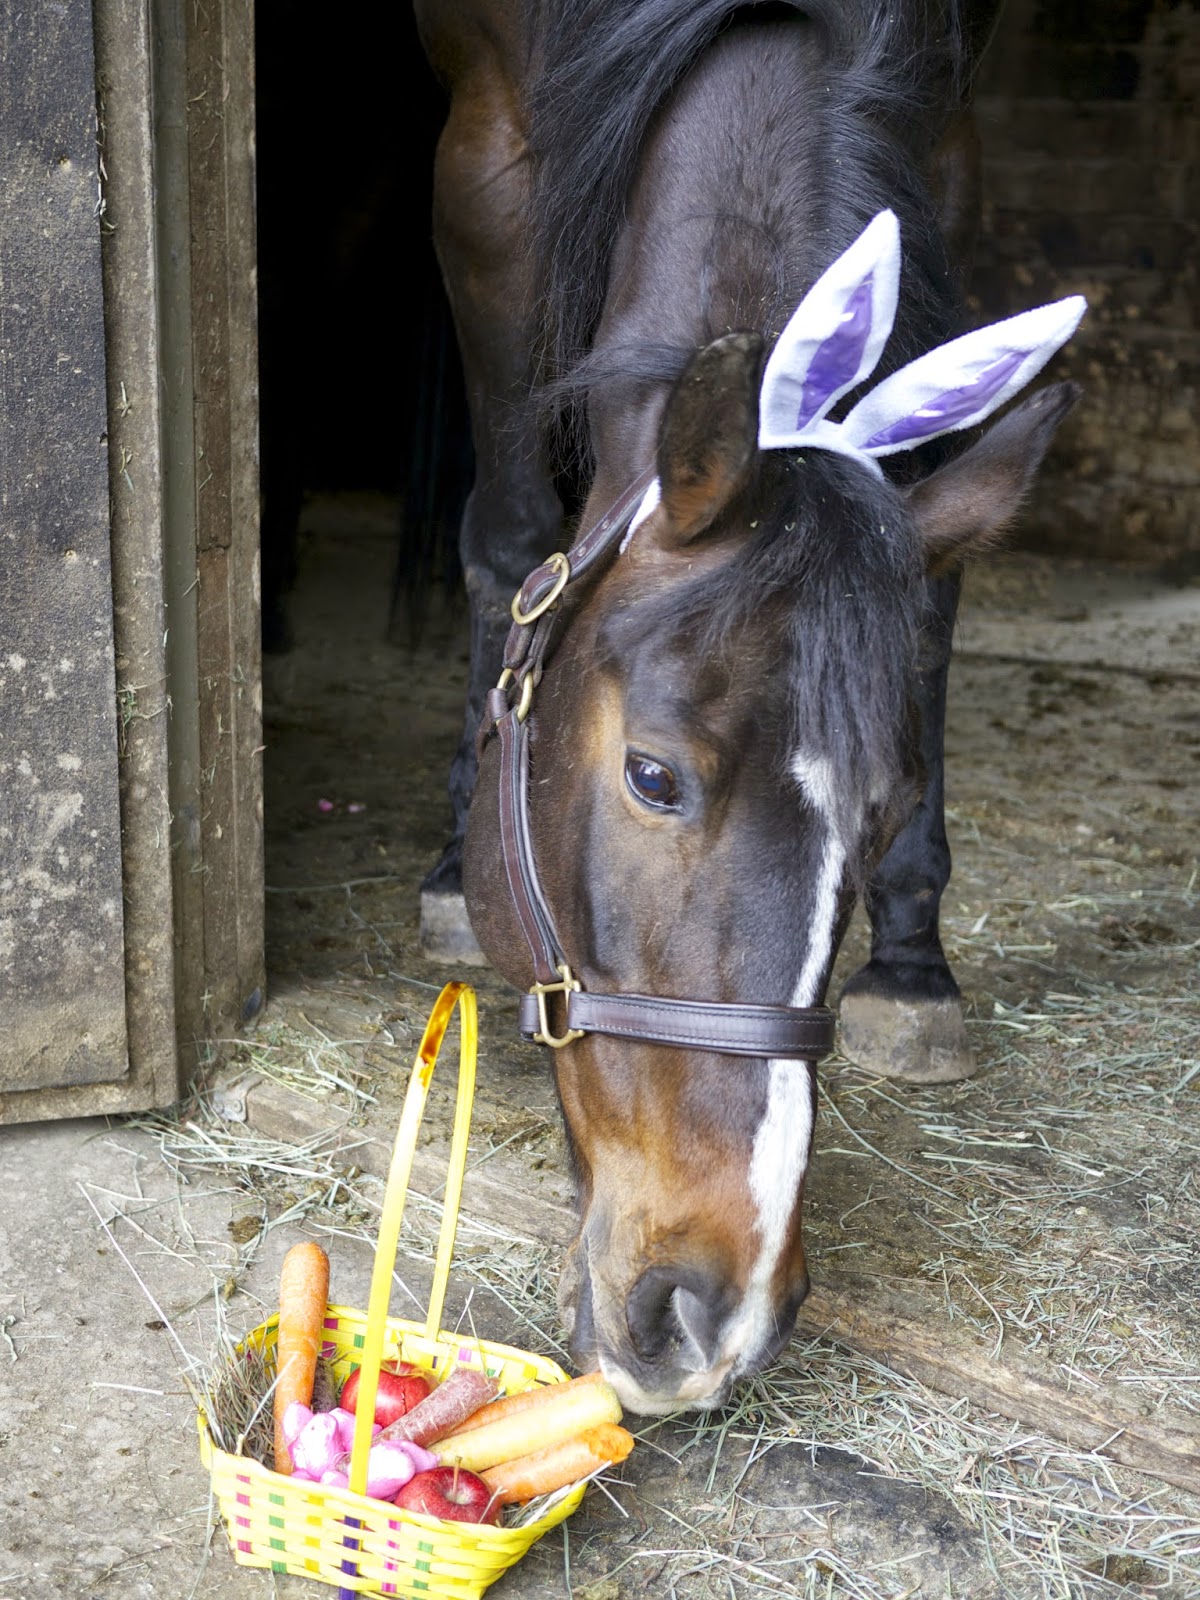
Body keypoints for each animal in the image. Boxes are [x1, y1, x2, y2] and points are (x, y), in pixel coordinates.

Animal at [413, 0, 1083, 1414]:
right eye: (653, 775)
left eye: (883, 818)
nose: (709, 1310)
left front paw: (912, 962)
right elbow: (506, 534)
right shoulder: (487, 149)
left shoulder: (945, 135)